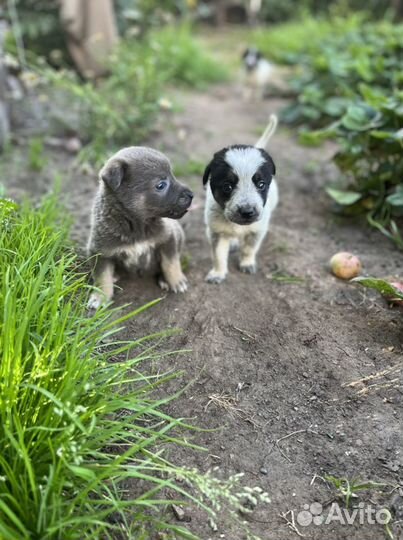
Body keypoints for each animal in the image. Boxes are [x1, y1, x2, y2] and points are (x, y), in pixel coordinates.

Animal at [87, 146, 194, 310]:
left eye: (173, 175)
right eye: (161, 185)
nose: (191, 195)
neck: (136, 224)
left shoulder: (168, 239)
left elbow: (170, 263)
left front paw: (175, 280)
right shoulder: (99, 252)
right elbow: (102, 277)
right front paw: (100, 296)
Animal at [204, 114, 280, 282]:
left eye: (261, 184)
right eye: (227, 186)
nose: (247, 212)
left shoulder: (256, 231)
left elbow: (248, 249)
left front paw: (247, 264)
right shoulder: (217, 232)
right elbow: (218, 255)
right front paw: (218, 273)